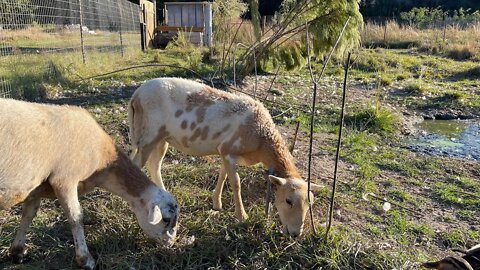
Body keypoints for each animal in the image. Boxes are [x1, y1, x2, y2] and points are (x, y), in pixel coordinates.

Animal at [0, 98, 180, 268]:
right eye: (165, 219)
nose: (170, 243)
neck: (103, 162)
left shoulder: (36, 185)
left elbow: (28, 214)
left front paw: (17, 251)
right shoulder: (64, 179)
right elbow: (76, 217)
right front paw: (85, 260)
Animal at [129, 77, 320, 236]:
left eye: (310, 204)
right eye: (288, 201)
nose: (295, 234)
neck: (262, 138)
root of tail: (136, 94)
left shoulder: (224, 152)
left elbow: (223, 176)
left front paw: (217, 204)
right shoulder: (228, 150)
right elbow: (236, 183)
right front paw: (242, 216)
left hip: (161, 139)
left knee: (154, 165)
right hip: (148, 135)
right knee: (137, 165)